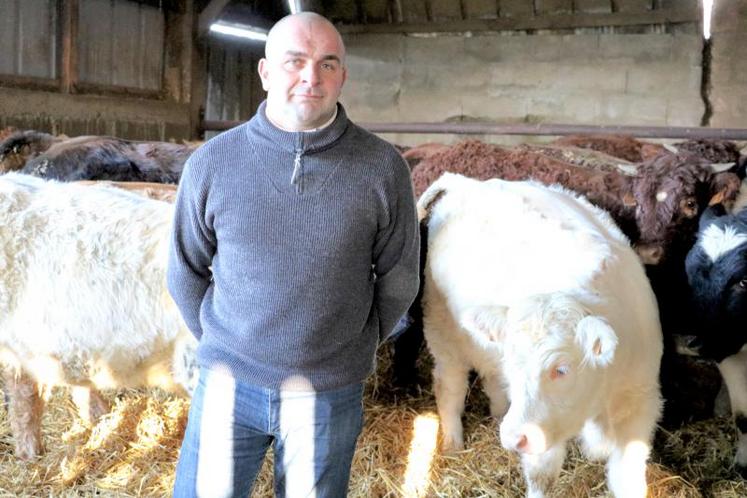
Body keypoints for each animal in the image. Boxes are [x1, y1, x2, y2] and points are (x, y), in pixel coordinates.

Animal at [424, 174, 664, 498]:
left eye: (561, 369)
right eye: (516, 367)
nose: (514, 437)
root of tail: (468, 183)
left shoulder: (640, 405)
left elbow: (628, 480)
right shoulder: (539, 431)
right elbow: (541, 479)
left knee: (491, 379)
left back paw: (499, 414)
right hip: (442, 330)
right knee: (449, 387)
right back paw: (453, 445)